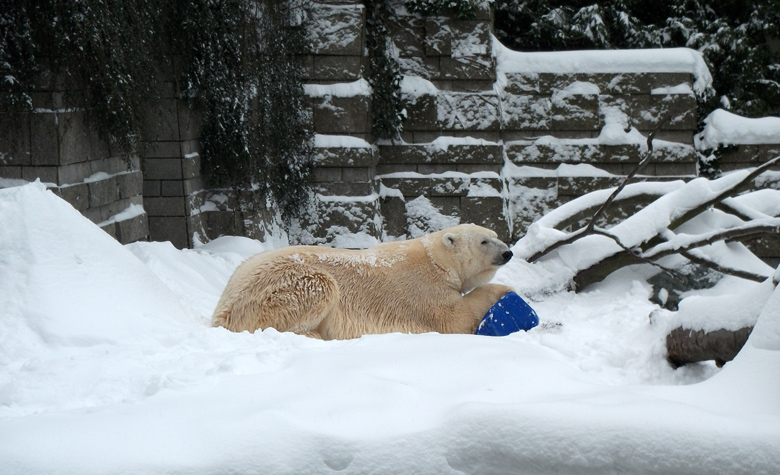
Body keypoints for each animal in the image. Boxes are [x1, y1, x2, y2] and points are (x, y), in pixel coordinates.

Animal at [213, 225, 516, 340]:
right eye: (484, 241)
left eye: (495, 235)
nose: (508, 253)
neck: (436, 260)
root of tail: (222, 309)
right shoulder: (424, 290)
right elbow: (455, 318)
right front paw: (506, 291)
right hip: (277, 288)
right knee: (320, 286)